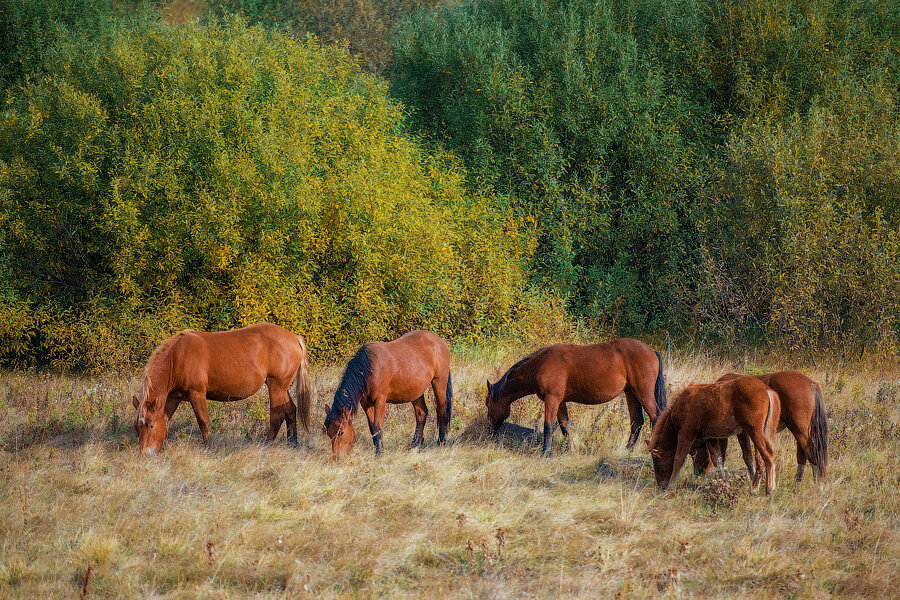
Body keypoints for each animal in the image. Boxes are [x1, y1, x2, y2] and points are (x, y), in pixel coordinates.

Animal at [130, 324, 312, 454]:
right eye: (137, 427)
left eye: (150, 426)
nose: (145, 454)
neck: (177, 357)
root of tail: (294, 337)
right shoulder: (174, 397)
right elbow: (166, 419)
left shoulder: (197, 394)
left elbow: (203, 422)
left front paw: (207, 447)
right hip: (281, 387)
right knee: (290, 410)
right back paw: (292, 443)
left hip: (276, 387)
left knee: (276, 415)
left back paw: (267, 444)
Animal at [324, 330, 454, 458]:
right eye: (328, 433)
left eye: (341, 432)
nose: (337, 458)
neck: (369, 369)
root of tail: (440, 342)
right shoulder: (365, 403)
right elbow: (373, 428)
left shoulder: (380, 400)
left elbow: (378, 426)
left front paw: (379, 454)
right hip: (416, 391)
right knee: (421, 413)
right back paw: (415, 445)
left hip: (439, 382)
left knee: (441, 411)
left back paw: (441, 442)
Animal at [486, 338, 668, 460]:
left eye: (487, 403)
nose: (490, 430)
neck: (540, 364)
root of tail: (651, 351)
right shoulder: (560, 402)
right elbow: (565, 425)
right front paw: (571, 449)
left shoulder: (552, 399)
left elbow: (548, 426)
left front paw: (546, 453)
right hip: (631, 393)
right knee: (637, 421)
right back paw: (627, 450)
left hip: (643, 393)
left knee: (656, 417)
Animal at [648, 376, 780, 496]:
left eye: (656, 460)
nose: (661, 485)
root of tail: (766, 390)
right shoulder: (710, 438)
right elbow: (717, 460)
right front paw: (723, 483)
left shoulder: (686, 433)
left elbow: (678, 459)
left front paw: (671, 488)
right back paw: (756, 488)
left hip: (754, 430)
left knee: (768, 454)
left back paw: (769, 489)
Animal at [692, 370, 832, 482]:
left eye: (694, 451)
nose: (697, 474)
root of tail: (810, 383)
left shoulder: (740, 433)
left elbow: (746, 457)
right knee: (803, 455)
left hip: (798, 429)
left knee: (811, 454)